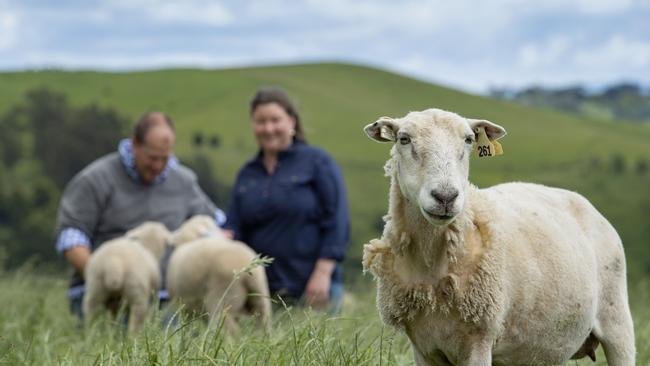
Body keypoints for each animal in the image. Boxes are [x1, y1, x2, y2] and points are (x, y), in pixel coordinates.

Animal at [362, 108, 636, 366]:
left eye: (469, 140)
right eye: (404, 139)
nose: (445, 197)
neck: (432, 265)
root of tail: (583, 202)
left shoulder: (480, 340)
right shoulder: (424, 347)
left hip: (617, 321)